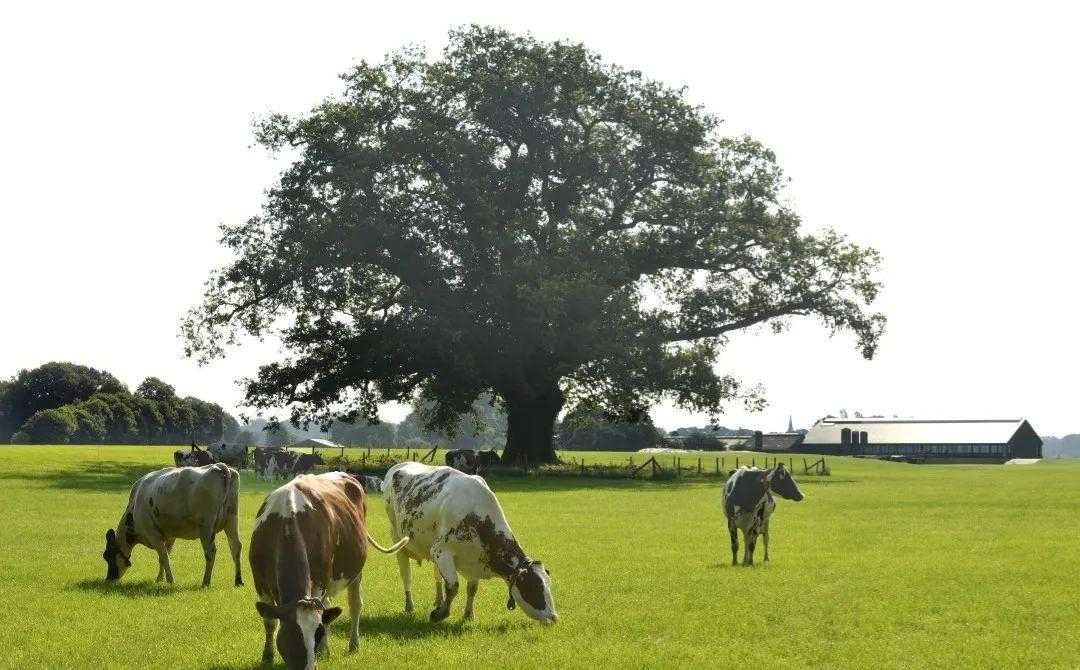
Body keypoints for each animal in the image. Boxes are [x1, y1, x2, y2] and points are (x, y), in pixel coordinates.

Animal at [101, 466, 243, 587]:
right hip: (232, 519)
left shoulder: (153, 534)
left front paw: (170, 581)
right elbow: (163, 557)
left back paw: (205, 582)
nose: (109, 579)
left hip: (206, 527)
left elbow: (164, 557)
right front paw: (159, 579)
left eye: (107, 556)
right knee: (235, 547)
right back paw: (238, 581)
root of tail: (220, 466)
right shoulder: (169, 536)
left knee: (210, 552)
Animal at [248, 471, 408, 670]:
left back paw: (353, 644)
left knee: (355, 605)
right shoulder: (260, 582)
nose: (310, 667)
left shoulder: (319, 582)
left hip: (355, 571)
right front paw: (267, 657)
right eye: (292, 634)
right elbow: (270, 621)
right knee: (329, 605)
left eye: (318, 634)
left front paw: (322, 648)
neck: (286, 521)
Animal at [384, 460, 561, 622]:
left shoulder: (475, 558)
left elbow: (472, 588)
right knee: (406, 576)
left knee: (437, 576)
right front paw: (440, 614)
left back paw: (438, 600)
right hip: (398, 540)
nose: (554, 617)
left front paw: (468, 614)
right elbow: (453, 586)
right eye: (534, 588)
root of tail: (399, 465)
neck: (476, 516)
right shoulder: (441, 551)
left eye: (549, 585)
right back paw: (409, 605)